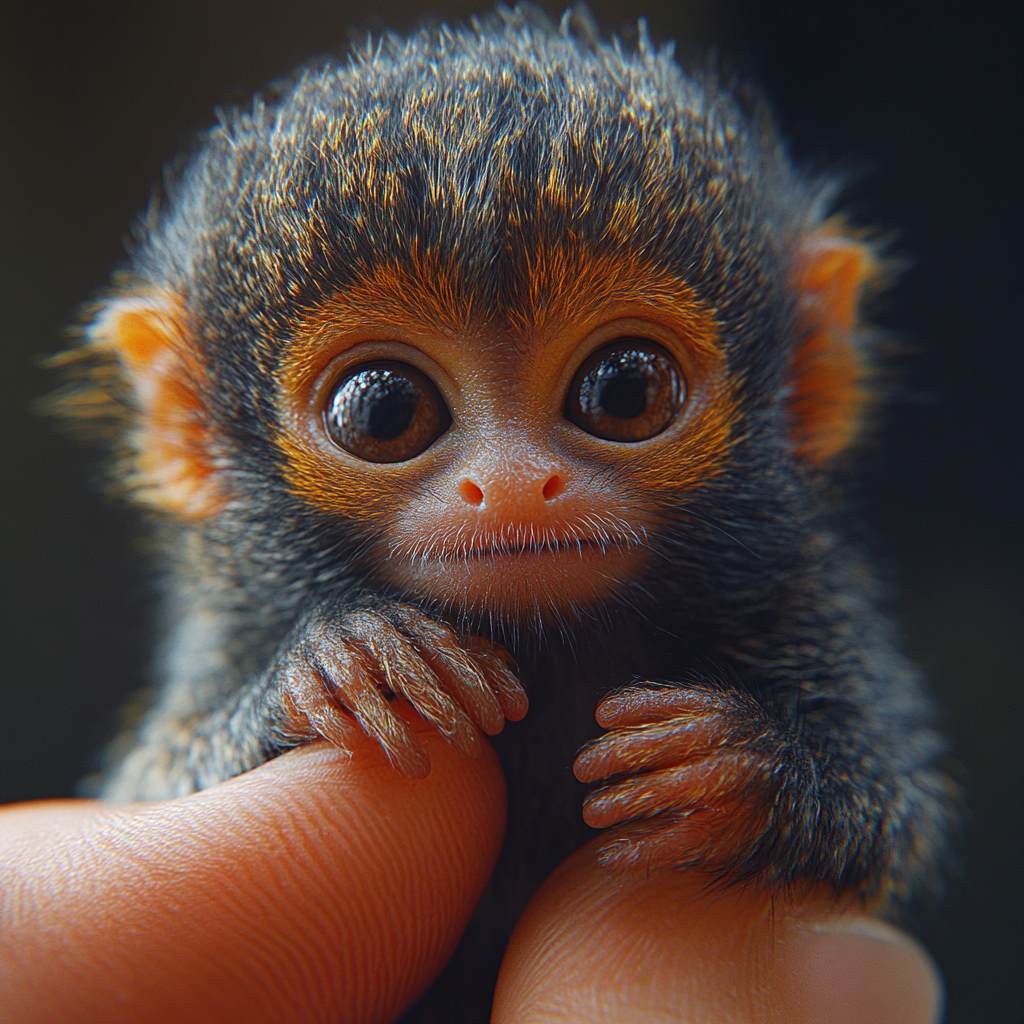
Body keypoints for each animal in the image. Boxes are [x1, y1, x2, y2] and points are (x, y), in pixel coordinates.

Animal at [51, 6, 954, 1015]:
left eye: (624, 391)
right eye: (385, 412)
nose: (517, 483)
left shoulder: (808, 602)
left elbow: (893, 813)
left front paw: (738, 769)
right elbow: (156, 776)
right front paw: (341, 664)